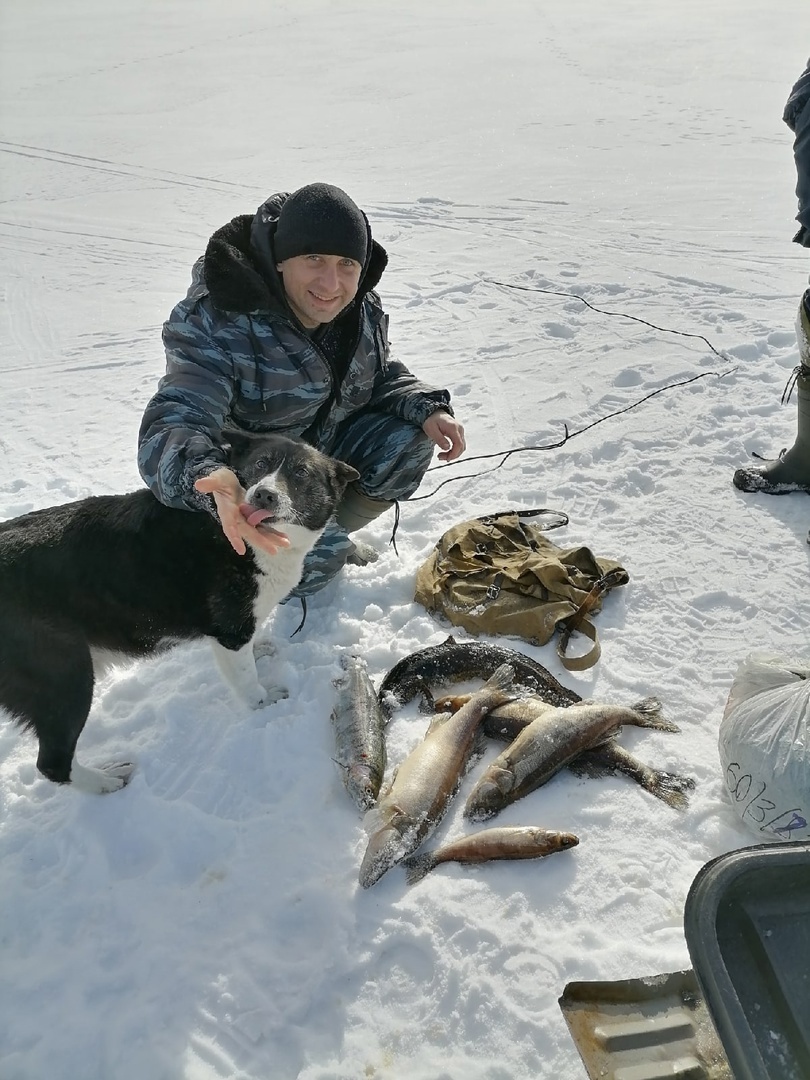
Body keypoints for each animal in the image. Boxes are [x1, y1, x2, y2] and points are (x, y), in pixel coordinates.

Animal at [0, 429, 358, 794]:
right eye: (261, 464)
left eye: (301, 473)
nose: (264, 495)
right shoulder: (231, 629)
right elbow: (246, 678)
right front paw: (262, 700)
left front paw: (258, 650)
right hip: (66, 676)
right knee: (53, 762)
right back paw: (105, 782)